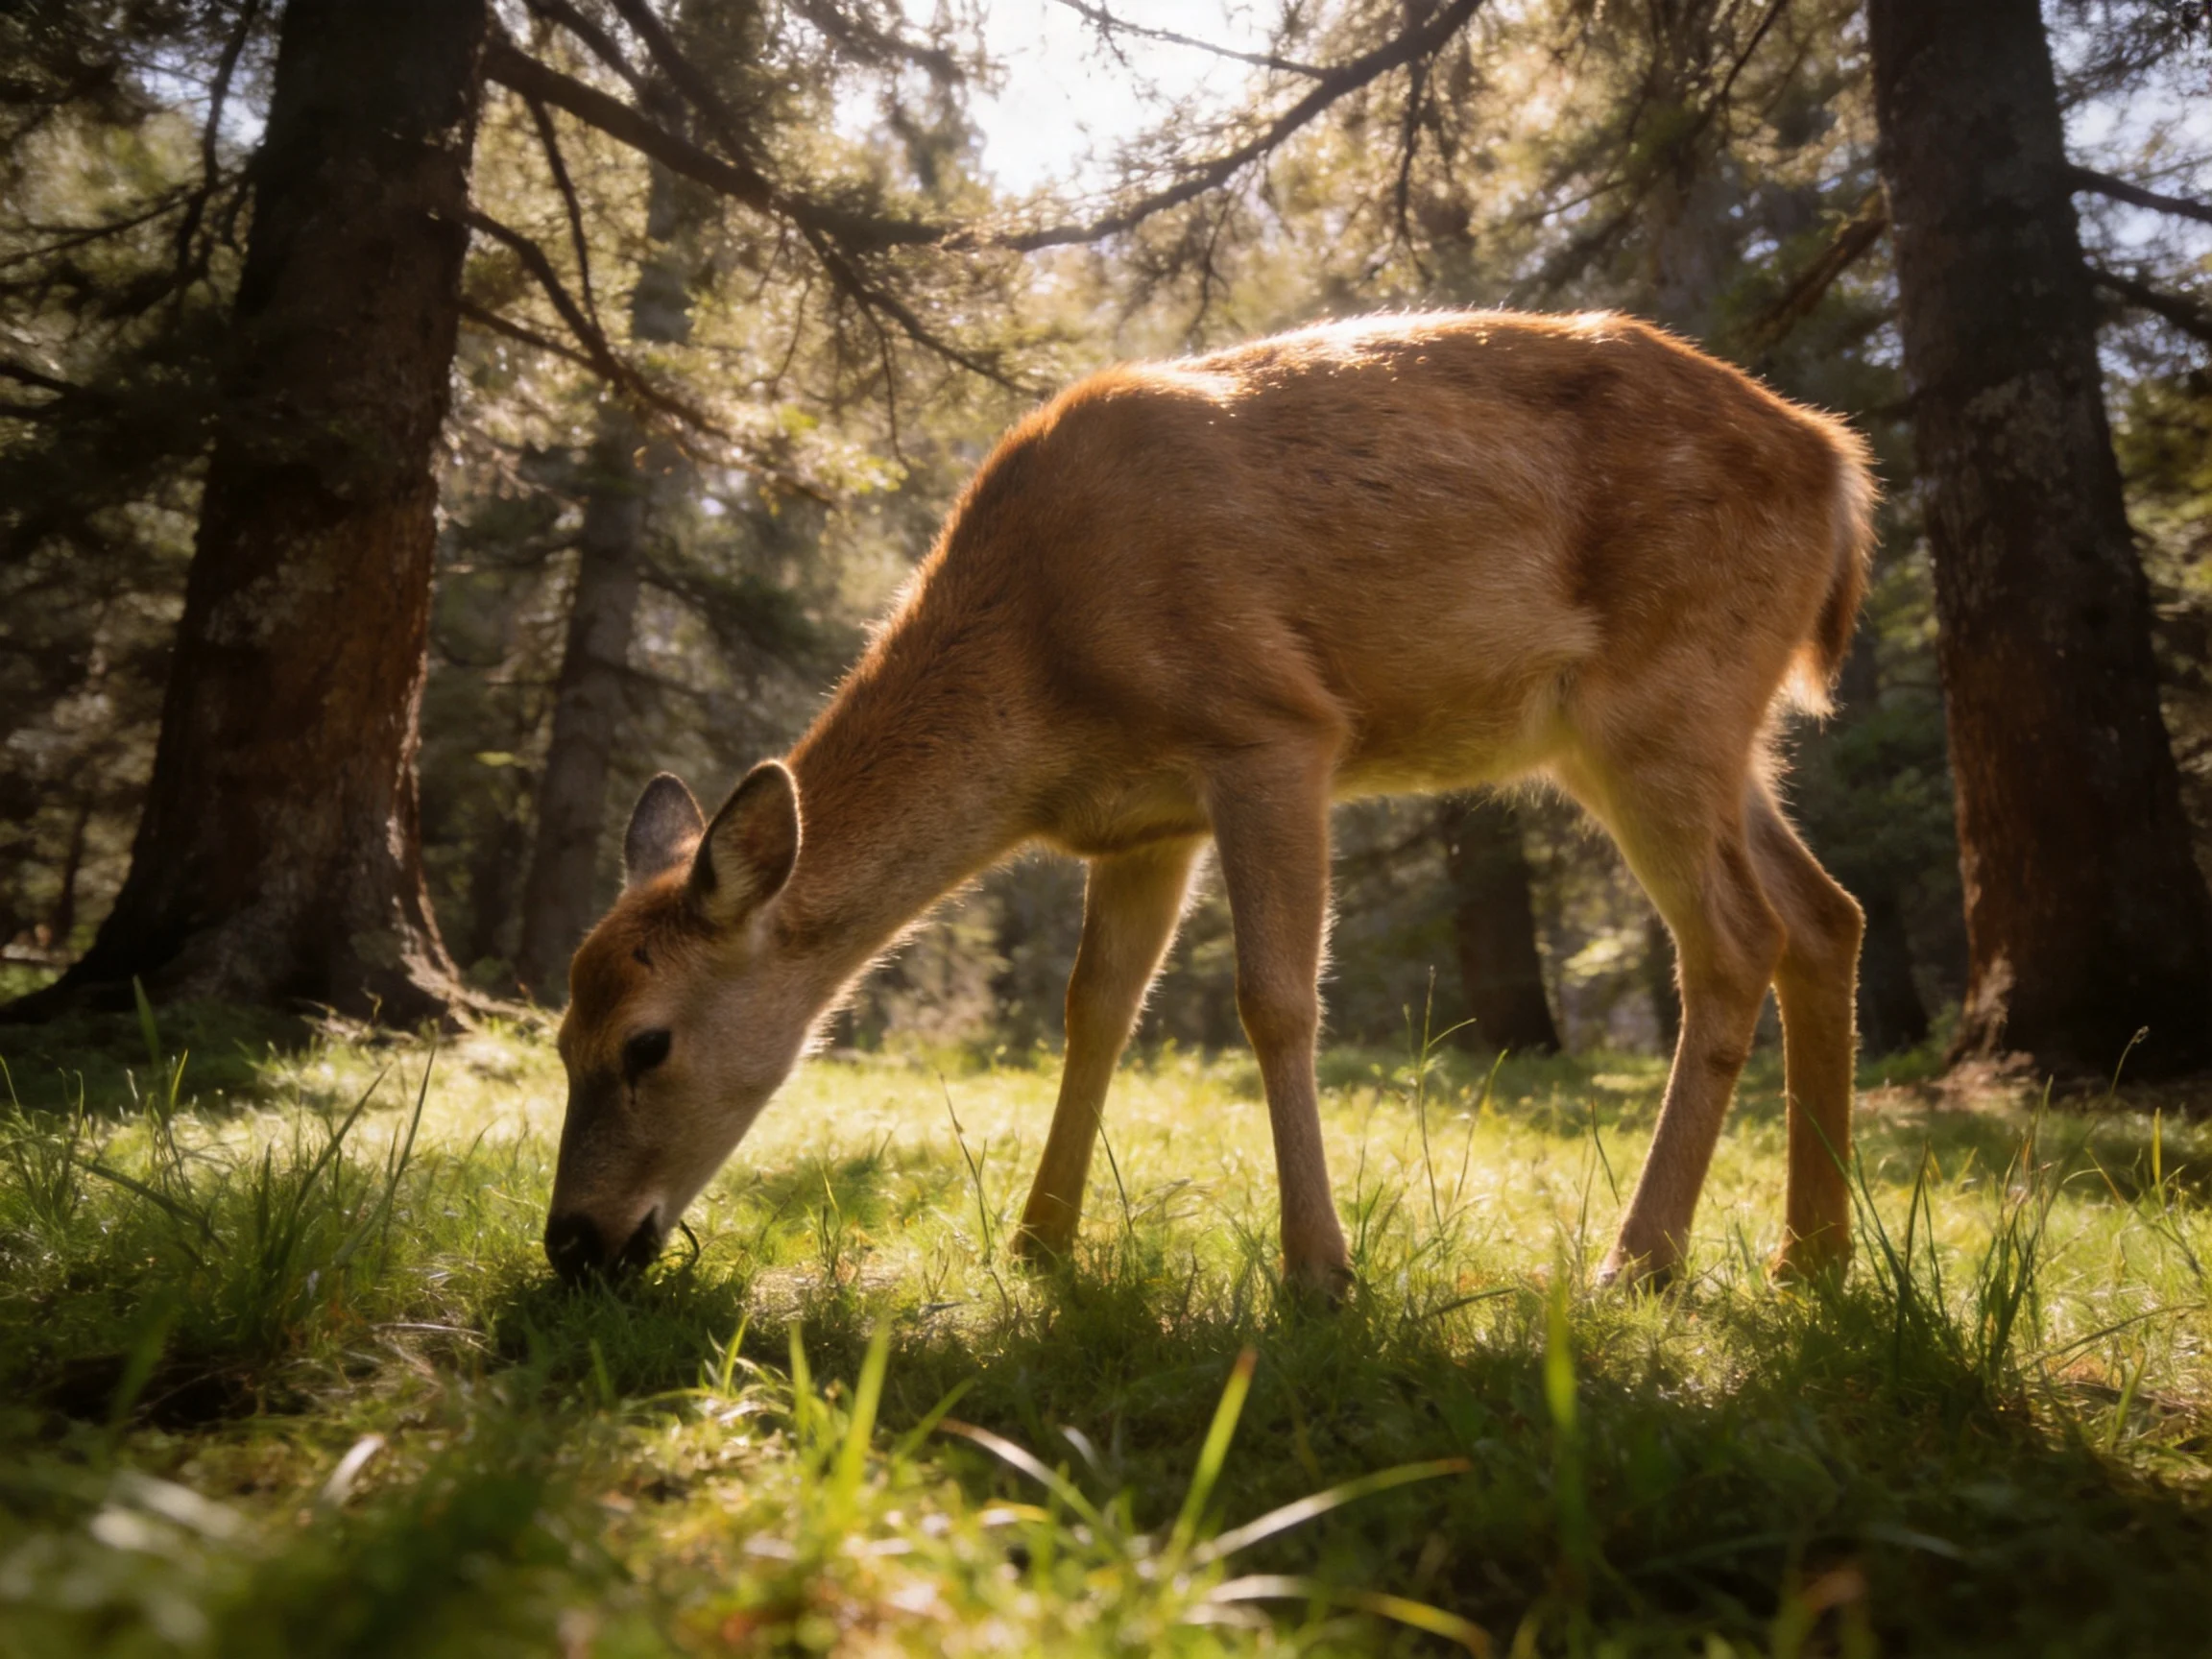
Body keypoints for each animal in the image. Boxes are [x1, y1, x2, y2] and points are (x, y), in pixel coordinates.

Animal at [543, 310, 1876, 1298]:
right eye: (558, 1035)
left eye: (646, 1042)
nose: (573, 1242)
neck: (1041, 681)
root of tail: (1839, 466)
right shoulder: (1146, 820)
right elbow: (1096, 1010)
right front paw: (1040, 1242)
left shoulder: (1270, 726)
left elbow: (1274, 1000)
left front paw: (1319, 1271)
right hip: (1701, 732)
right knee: (1828, 914)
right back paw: (1809, 1255)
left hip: (1662, 698)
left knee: (1736, 939)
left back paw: (1639, 1262)